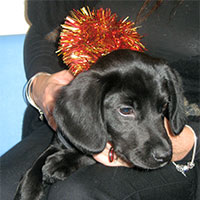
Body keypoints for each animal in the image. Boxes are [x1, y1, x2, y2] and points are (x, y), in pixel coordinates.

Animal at [14, 49, 186, 199]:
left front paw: (62, 162)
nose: (165, 156)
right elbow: (33, 170)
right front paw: (26, 193)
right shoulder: (59, 142)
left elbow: (91, 154)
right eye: (125, 110)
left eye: (164, 106)